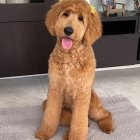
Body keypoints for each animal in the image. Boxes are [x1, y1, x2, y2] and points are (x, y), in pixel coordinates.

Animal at [35, 0, 114, 139]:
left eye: (81, 18)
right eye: (65, 14)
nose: (68, 30)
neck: (70, 57)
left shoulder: (82, 93)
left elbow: (78, 122)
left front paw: (75, 136)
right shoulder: (55, 88)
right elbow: (50, 115)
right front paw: (44, 132)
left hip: (93, 106)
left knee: (105, 114)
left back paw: (107, 126)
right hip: (48, 104)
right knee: (75, 120)